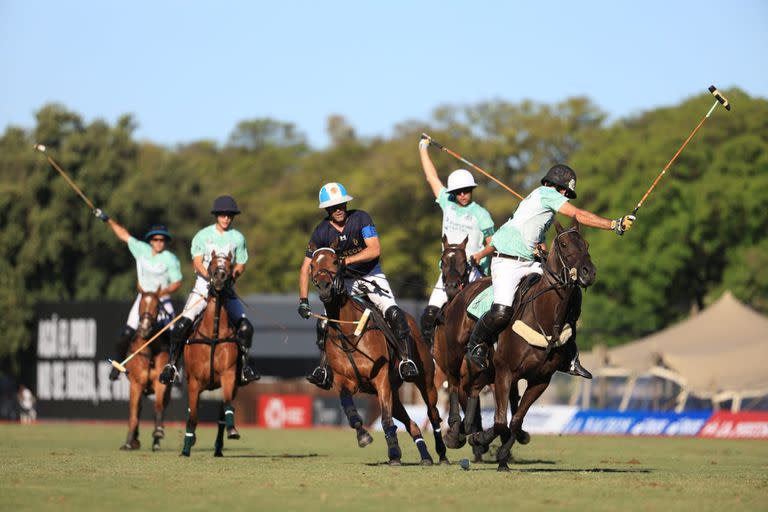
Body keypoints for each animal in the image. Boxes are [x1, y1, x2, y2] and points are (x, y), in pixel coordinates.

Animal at [121, 288, 172, 452]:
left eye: (157, 306)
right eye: (140, 305)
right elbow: (134, 412)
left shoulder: (160, 383)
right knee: (137, 409)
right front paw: (129, 442)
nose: (144, 328)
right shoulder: (136, 384)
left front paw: (158, 433)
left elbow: (158, 406)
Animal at [180, 251, 240, 456]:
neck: (213, 334)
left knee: (221, 415)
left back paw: (219, 447)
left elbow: (228, 405)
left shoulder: (228, 375)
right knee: (191, 412)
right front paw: (186, 449)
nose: (220, 277)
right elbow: (192, 416)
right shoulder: (194, 382)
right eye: (212, 263)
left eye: (230, 265)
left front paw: (232, 430)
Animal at [308, 240, 448, 464]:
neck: (348, 332)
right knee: (412, 423)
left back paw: (441, 453)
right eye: (312, 265)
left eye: (336, 261)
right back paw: (425, 456)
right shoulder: (343, 381)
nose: (324, 287)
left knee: (433, 414)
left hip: (425, 381)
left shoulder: (380, 378)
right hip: (393, 393)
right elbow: (350, 410)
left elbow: (385, 419)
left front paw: (394, 453)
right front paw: (363, 435)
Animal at [462, 218, 592, 470]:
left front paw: (503, 454)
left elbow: (515, 420)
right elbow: (500, 421)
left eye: (587, 244)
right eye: (563, 244)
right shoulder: (504, 372)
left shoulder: (540, 379)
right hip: (472, 367)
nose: (588, 273)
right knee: (465, 389)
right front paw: (481, 438)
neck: (545, 317)